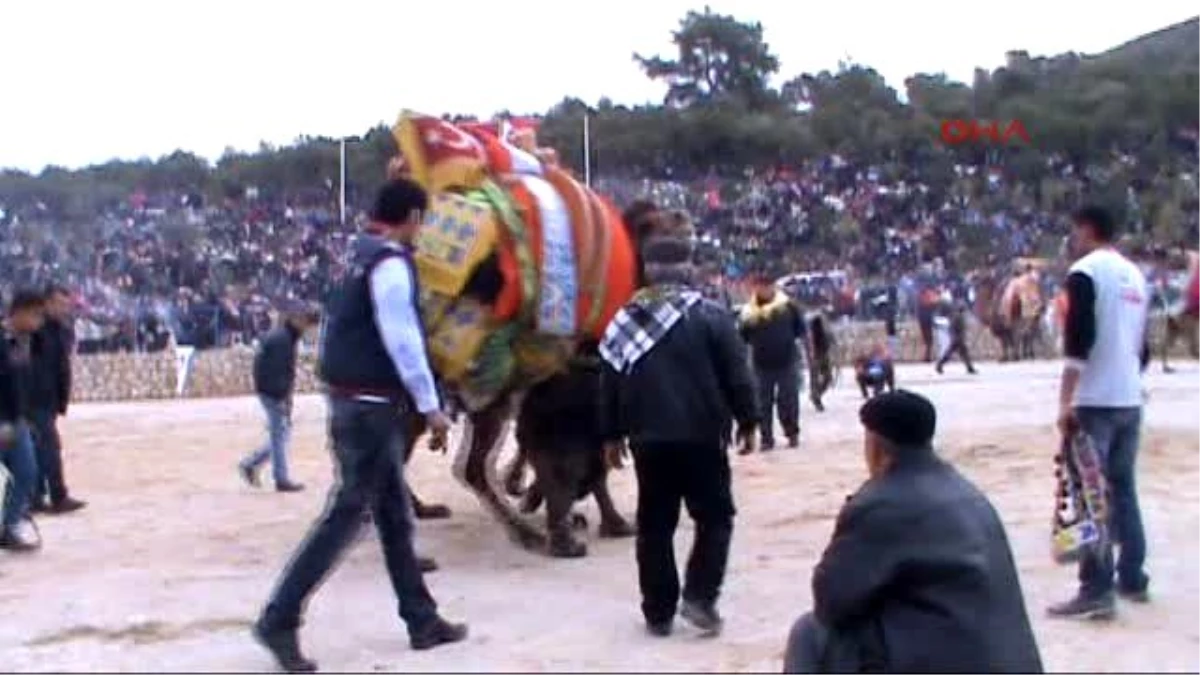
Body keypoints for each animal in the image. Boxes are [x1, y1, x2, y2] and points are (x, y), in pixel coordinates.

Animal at [384, 112, 667, 554]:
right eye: (655, 226)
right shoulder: (568, 388)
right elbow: (576, 458)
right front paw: (593, 524)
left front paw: (554, 506)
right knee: (467, 467)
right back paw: (525, 531)